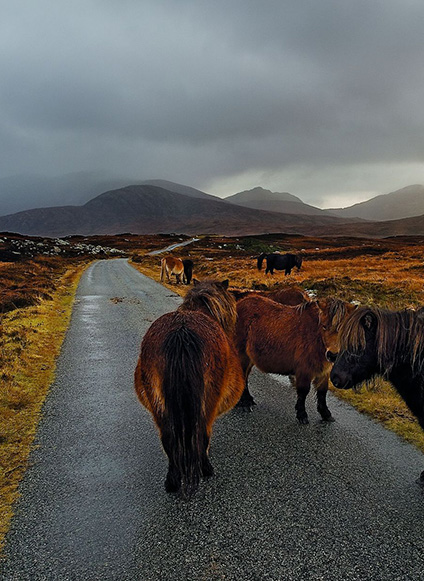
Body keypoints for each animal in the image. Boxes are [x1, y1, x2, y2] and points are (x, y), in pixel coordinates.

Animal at [132, 278, 245, 496]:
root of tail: (181, 333)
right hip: (208, 404)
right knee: (201, 434)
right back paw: (206, 469)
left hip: (159, 405)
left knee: (169, 439)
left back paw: (172, 482)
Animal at [235, 294, 354, 422]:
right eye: (324, 326)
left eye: (344, 329)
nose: (333, 355)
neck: (316, 336)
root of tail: (239, 303)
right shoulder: (304, 370)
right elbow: (303, 391)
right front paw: (302, 414)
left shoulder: (324, 371)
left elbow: (322, 392)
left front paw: (325, 414)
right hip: (242, 355)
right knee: (243, 376)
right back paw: (244, 403)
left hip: (250, 358)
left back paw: (248, 400)